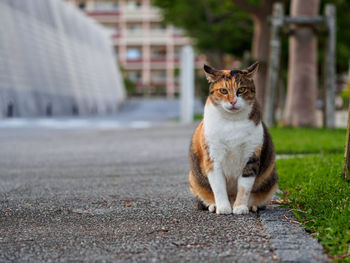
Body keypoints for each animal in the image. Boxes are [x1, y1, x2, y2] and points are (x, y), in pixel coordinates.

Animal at [189, 63, 278, 216]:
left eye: (241, 89)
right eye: (223, 90)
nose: (233, 101)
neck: (232, 121)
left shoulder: (251, 155)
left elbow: (244, 186)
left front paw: (240, 207)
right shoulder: (212, 158)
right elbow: (218, 186)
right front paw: (223, 208)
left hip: (271, 177)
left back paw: (252, 206)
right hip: (193, 179)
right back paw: (213, 205)